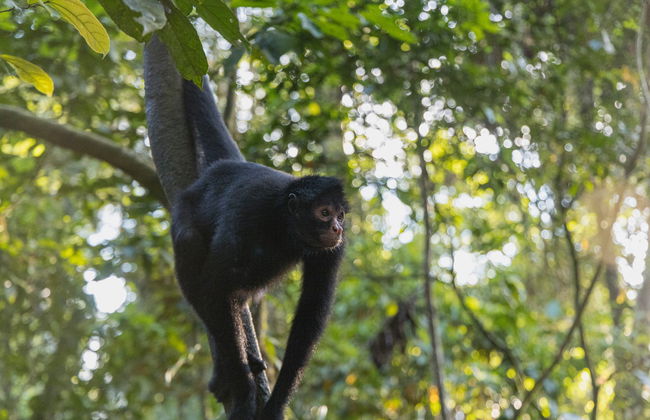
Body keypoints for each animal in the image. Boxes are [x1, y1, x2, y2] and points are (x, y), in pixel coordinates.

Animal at [170, 78, 348, 420]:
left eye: (340, 215)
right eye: (324, 213)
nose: (337, 229)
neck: (283, 224)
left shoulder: (334, 250)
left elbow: (311, 313)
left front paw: (277, 405)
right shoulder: (247, 213)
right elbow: (215, 287)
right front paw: (244, 392)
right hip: (186, 205)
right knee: (190, 244)